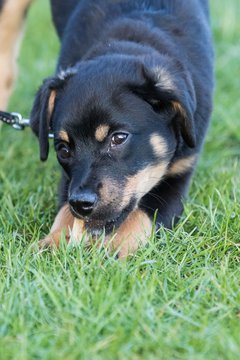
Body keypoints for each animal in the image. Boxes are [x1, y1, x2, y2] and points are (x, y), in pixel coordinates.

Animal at [30, 0, 214, 258]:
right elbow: (65, 210)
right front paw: (53, 243)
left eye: (118, 138)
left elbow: (141, 213)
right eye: (63, 149)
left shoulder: (180, 170)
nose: (82, 203)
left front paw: (112, 250)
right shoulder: (69, 181)